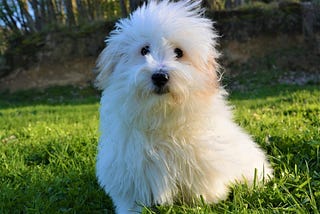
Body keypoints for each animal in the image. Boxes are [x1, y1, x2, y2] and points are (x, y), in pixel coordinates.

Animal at [95, 0, 272, 213]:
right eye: (144, 50)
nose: (160, 76)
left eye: (179, 52)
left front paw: (202, 203)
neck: (160, 115)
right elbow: (131, 198)